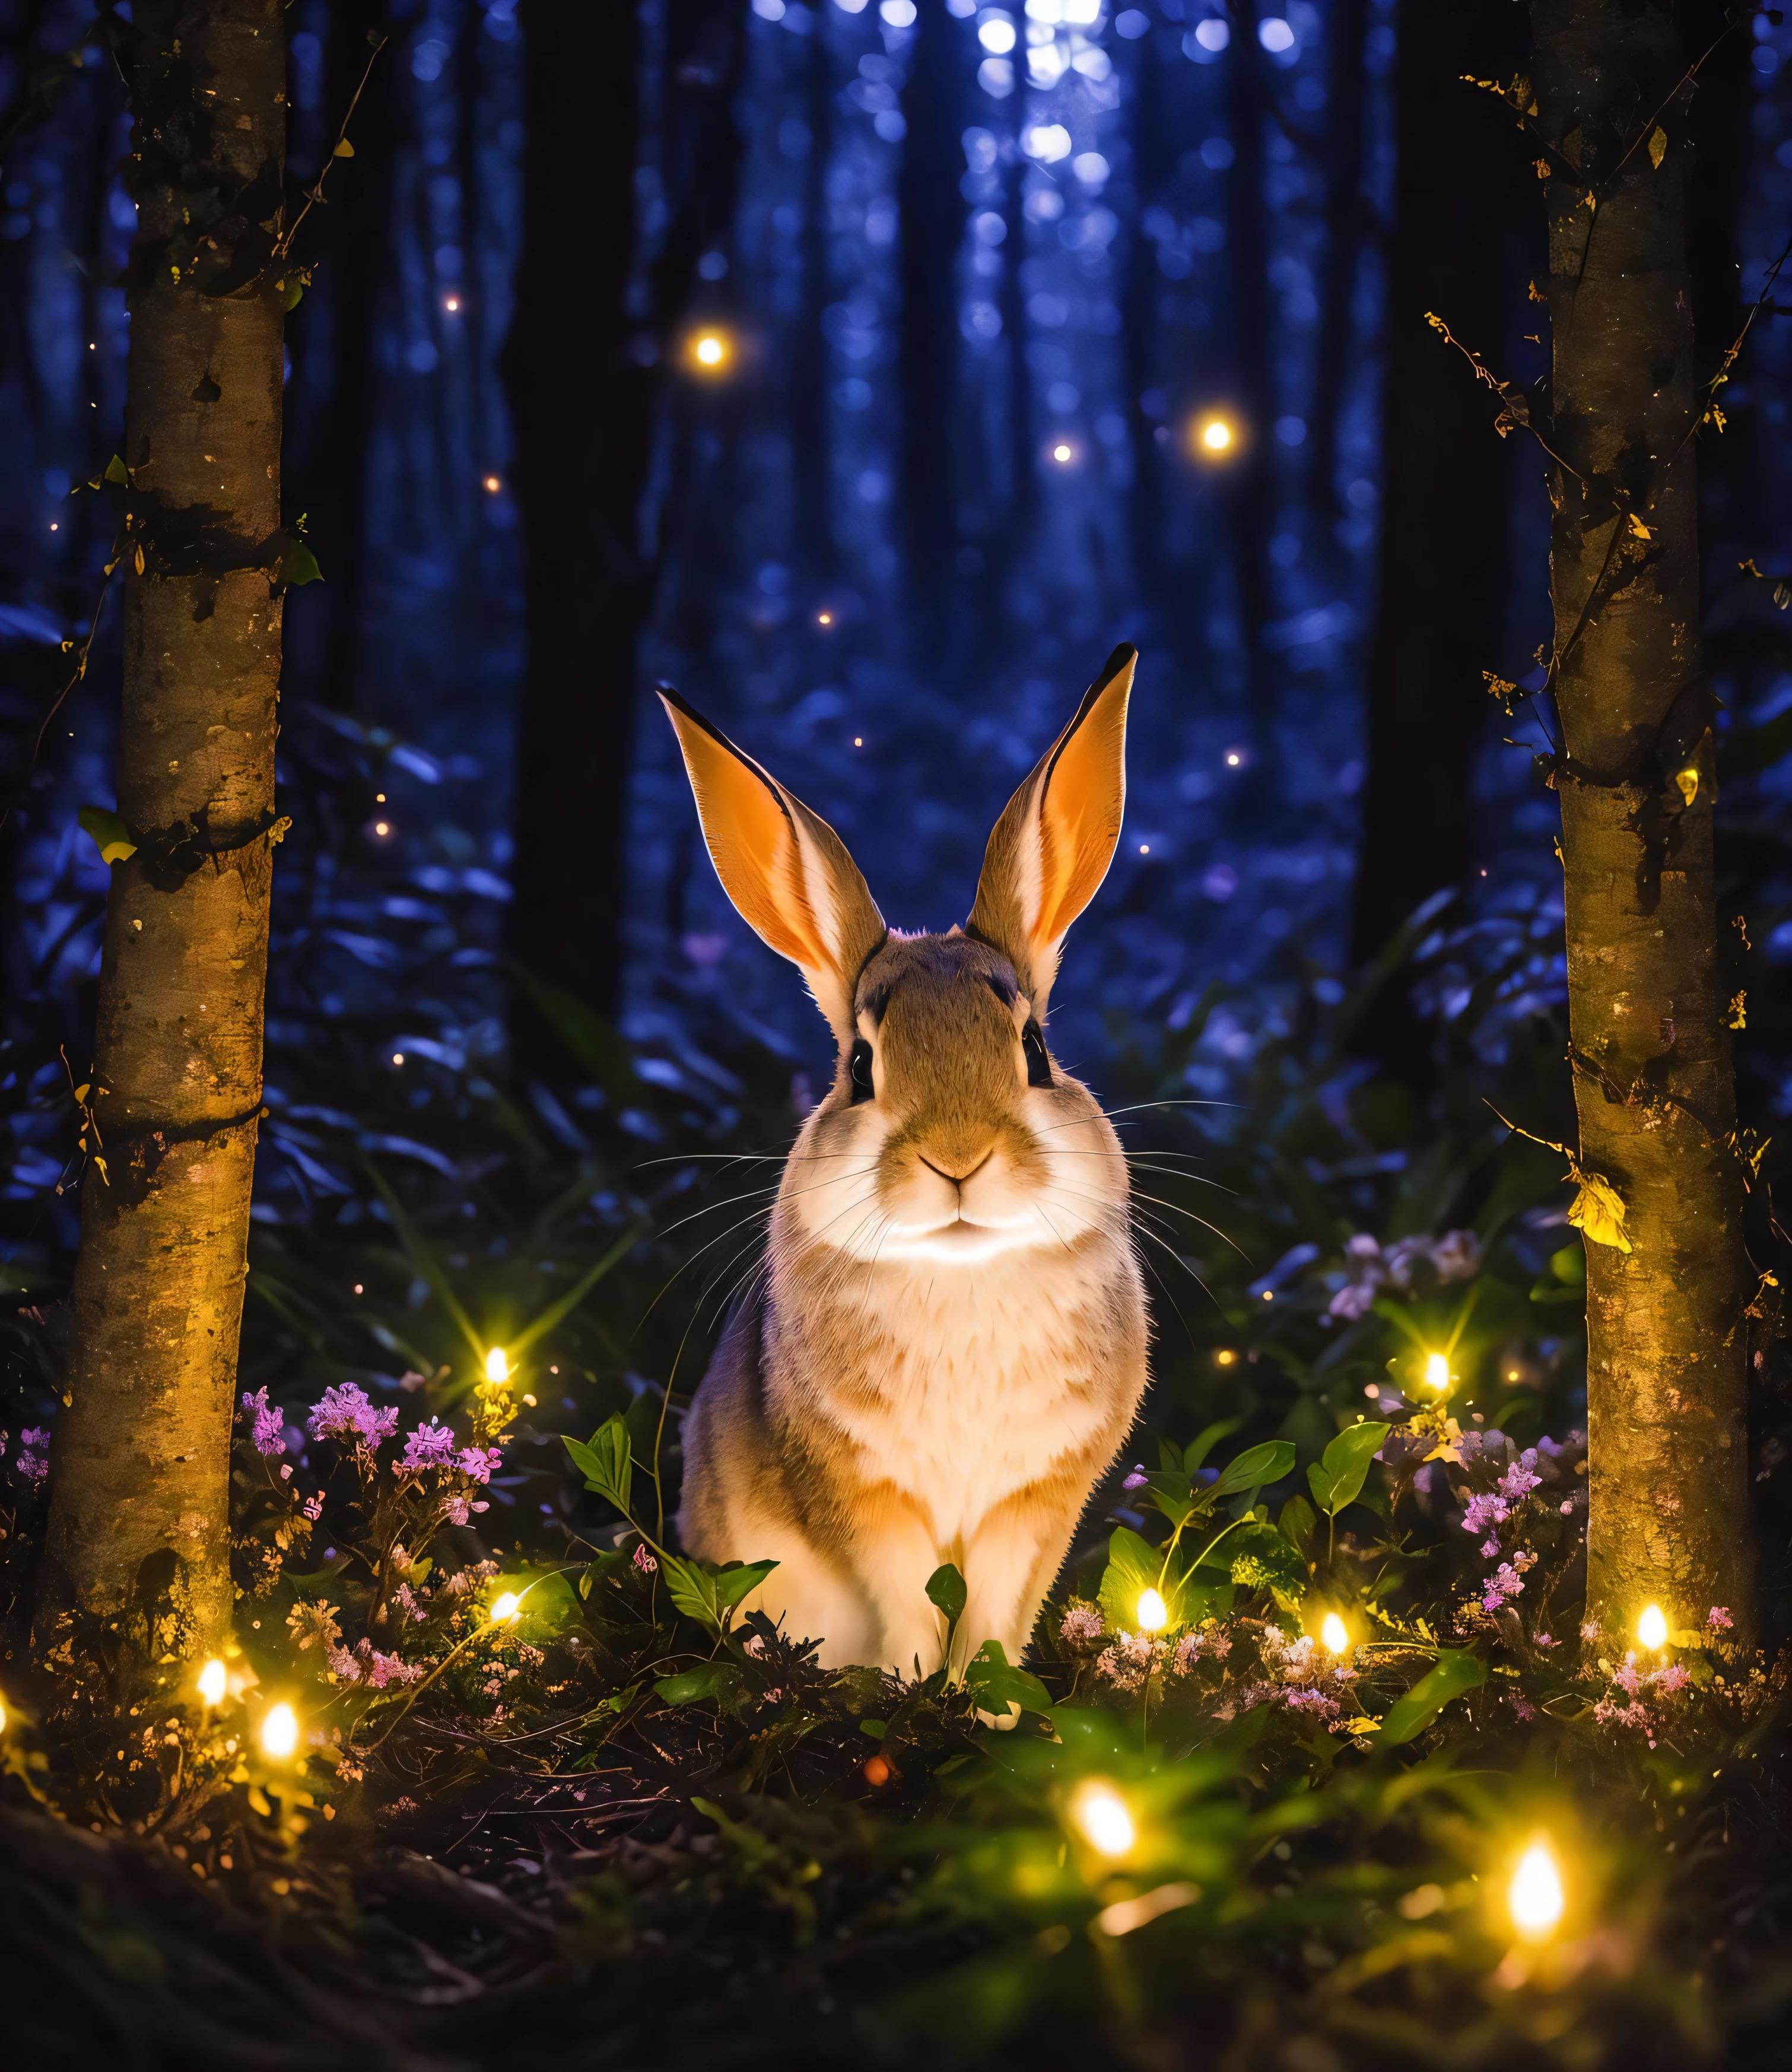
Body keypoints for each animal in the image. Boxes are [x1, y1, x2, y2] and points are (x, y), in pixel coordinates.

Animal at [659, 646, 1143, 1682]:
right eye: (858, 1066)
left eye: (1036, 1050)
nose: (957, 1156)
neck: (962, 1270)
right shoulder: (864, 1494)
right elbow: (911, 1602)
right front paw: (911, 1688)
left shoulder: (1037, 1499)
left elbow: (993, 1607)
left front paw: (986, 1698)